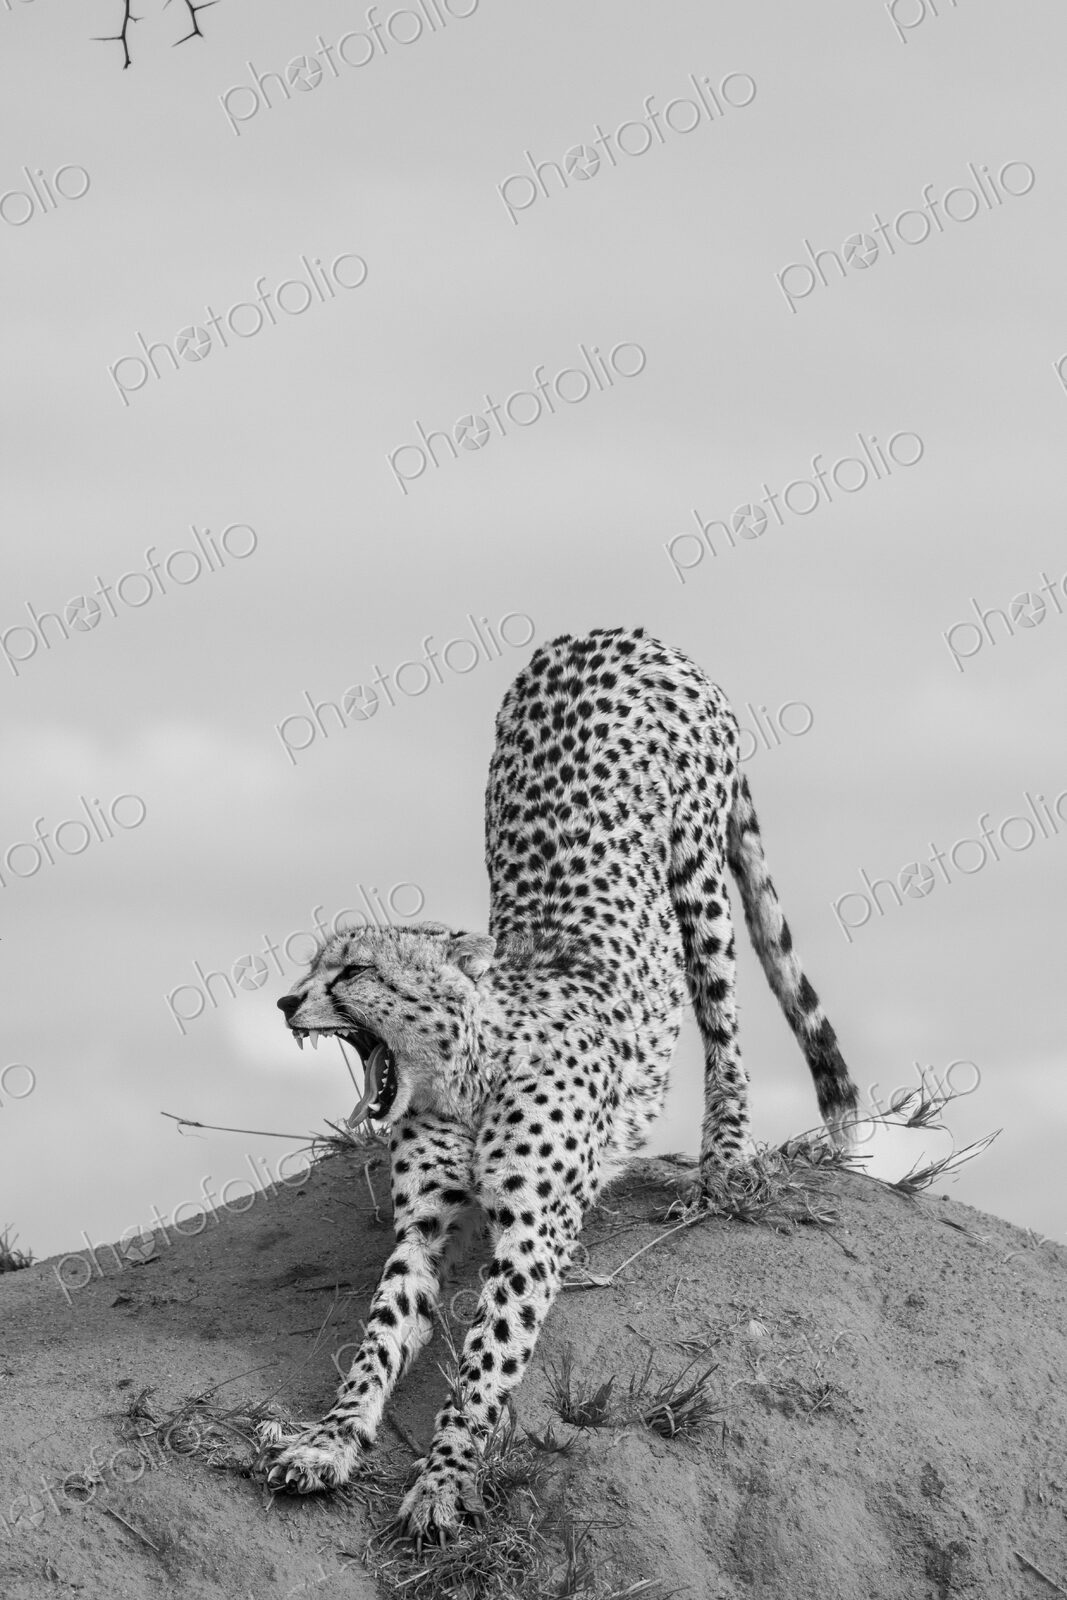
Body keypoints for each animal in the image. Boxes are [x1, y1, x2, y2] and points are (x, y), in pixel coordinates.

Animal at [255, 624, 859, 1542]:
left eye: (354, 971)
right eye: (313, 967)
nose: (288, 1001)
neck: (467, 1076)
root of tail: (613, 630)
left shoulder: (532, 1235)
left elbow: (484, 1362)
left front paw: (444, 1478)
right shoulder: (419, 1228)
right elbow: (379, 1338)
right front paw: (328, 1442)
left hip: (698, 876)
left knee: (726, 1021)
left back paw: (721, 1164)